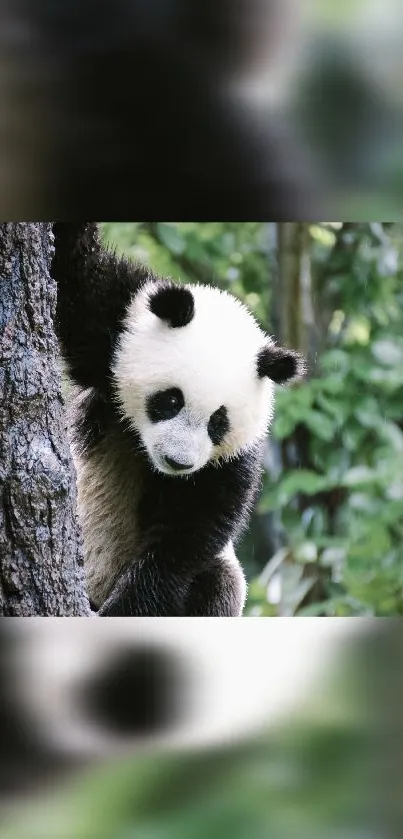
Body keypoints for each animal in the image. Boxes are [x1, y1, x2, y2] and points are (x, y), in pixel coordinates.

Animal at [52, 223, 306, 616]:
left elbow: (186, 534)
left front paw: (124, 609)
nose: (178, 462)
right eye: (170, 400)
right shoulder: (114, 325)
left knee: (218, 582)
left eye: (219, 422)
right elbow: (74, 272)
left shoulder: (229, 462)